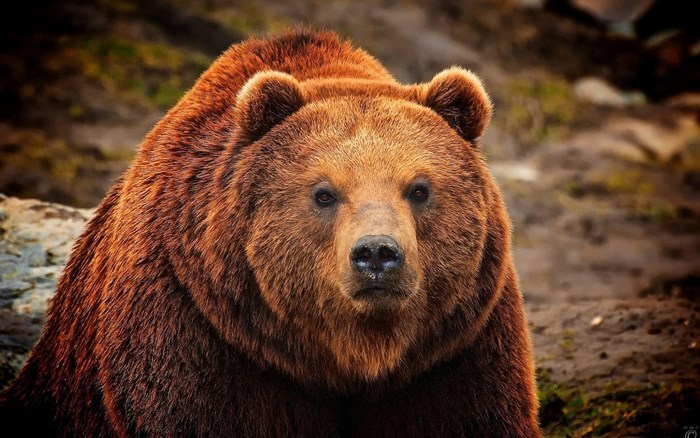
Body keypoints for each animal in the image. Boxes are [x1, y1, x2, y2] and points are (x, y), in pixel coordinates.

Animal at [0, 30, 540, 437]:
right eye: (324, 193)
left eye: (420, 188)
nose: (377, 254)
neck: (350, 357)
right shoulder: (200, 333)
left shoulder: (453, 349)